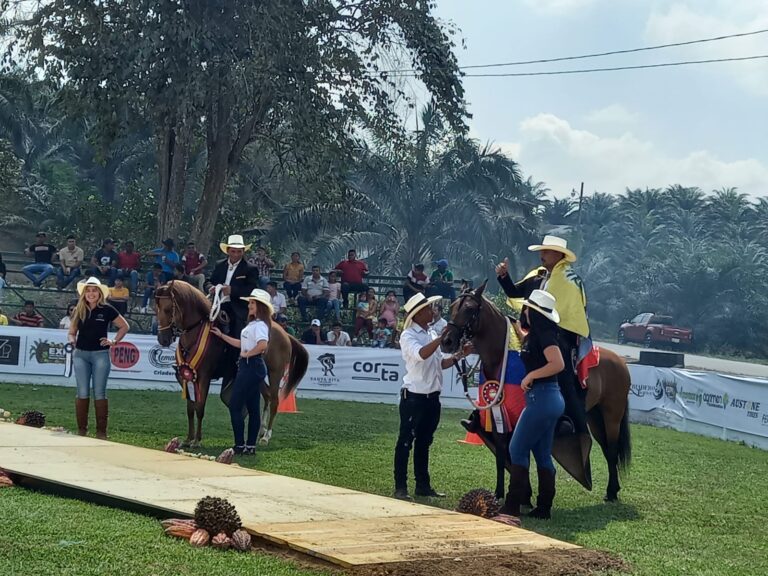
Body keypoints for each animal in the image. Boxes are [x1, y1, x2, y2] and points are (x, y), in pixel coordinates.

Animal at [156, 282, 308, 448]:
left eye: (168, 309)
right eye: (156, 308)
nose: (163, 339)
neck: (196, 332)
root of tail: (285, 333)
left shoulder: (204, 377)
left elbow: (200, 408)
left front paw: (196, 441)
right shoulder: (187, 378)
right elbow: (190, 409)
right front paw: (188, 439)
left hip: (275, 373)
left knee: (274, 400)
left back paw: (266, 436)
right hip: (258, 377)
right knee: (267, 396)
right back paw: (261, 431)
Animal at [440, 282, 632, 502]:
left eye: (470, 308)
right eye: (452, 306)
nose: (446, 341)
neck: (502, 357)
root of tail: (620, 361)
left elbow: (522, 453)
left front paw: (523, 494)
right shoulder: (500, 417)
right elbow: (503, 455)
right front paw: (501, 494)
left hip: (612, 416)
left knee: (612, 450)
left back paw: (612, 492)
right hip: (594, 416)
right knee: (607, 449)